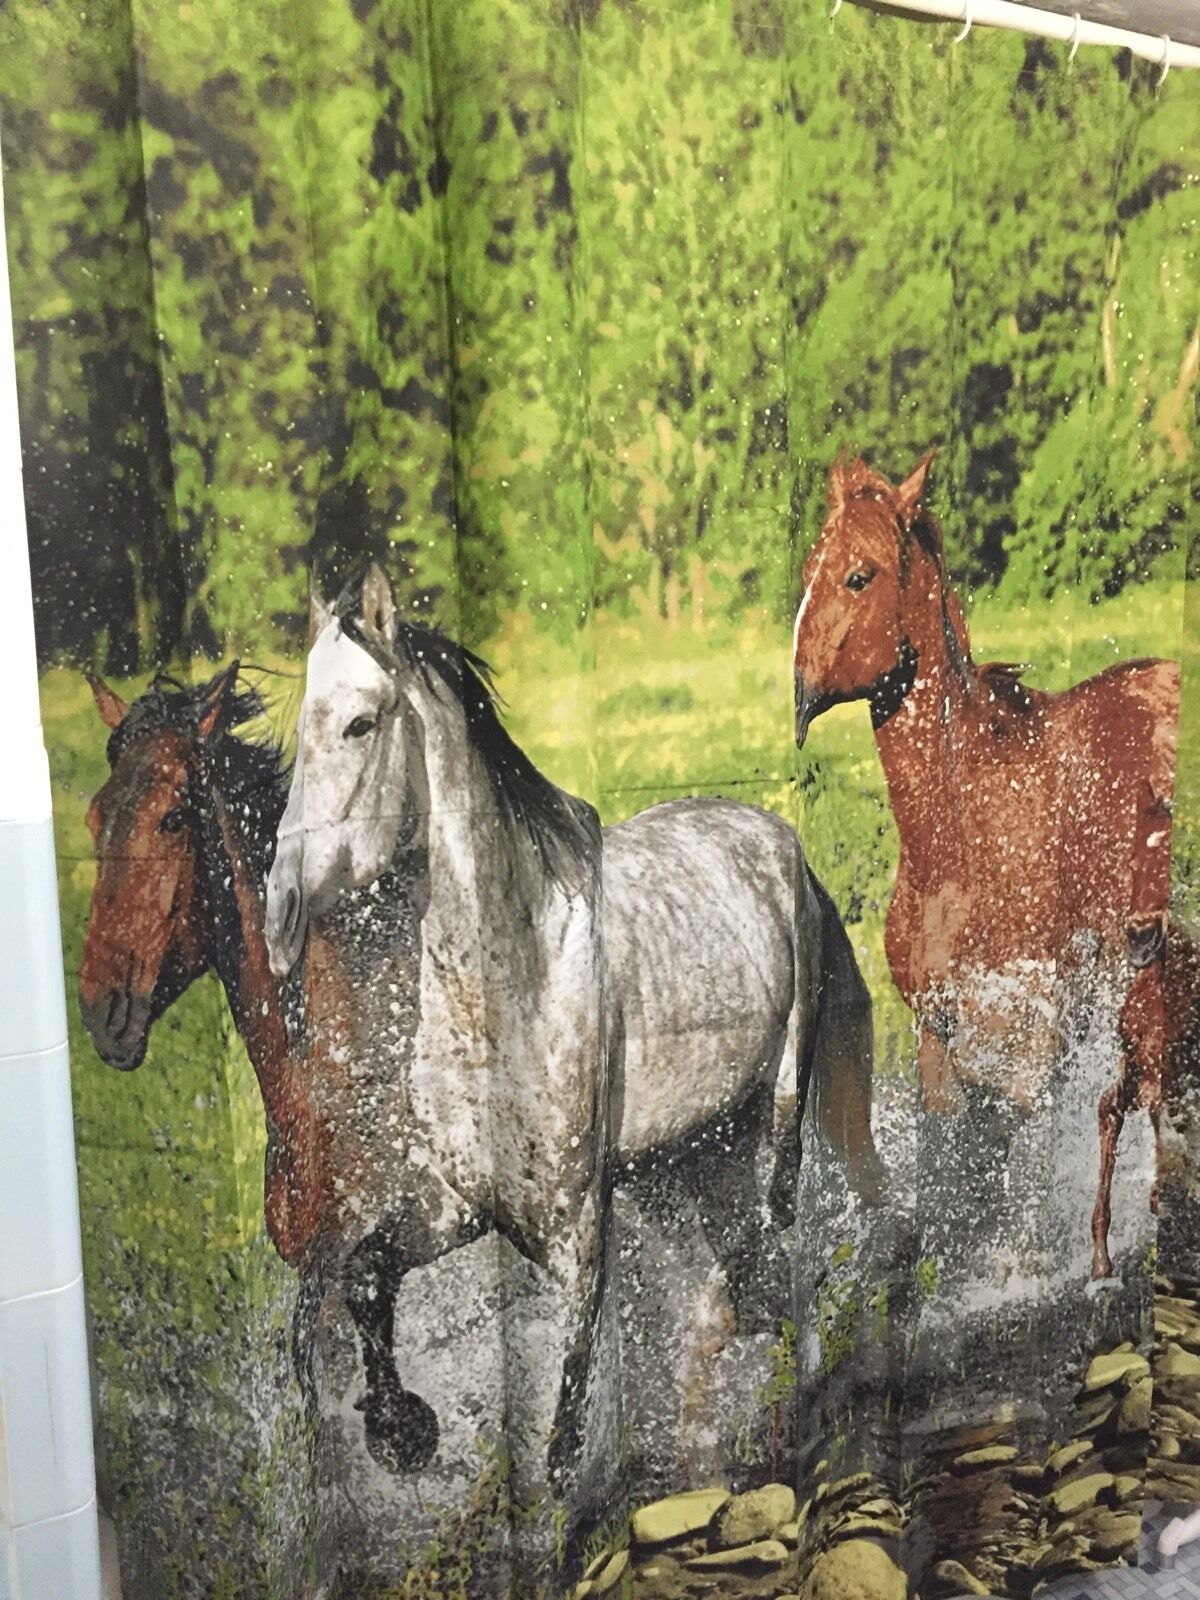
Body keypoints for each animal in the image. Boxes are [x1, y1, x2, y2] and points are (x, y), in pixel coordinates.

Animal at [263, 563, 883, 1514]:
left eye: (360, 723)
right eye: (301, 726)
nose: (279, 912)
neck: (508, 991)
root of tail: (782, 839)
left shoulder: (577, 1226)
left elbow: (561, 1434)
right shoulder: (461, 1201)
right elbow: (367, 1273)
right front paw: (400, 1431)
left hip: (777, 1124)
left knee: (783, 1268)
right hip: (691, 1161)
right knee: (747, 1290)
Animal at [791, 450, 1182, 1279]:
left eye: (860, 575)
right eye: (810, 570)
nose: (800, 698)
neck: (963, 844)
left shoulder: (1037, 1046)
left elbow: (1025, 1198)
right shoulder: (938, 1041)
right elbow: (952, 1181)